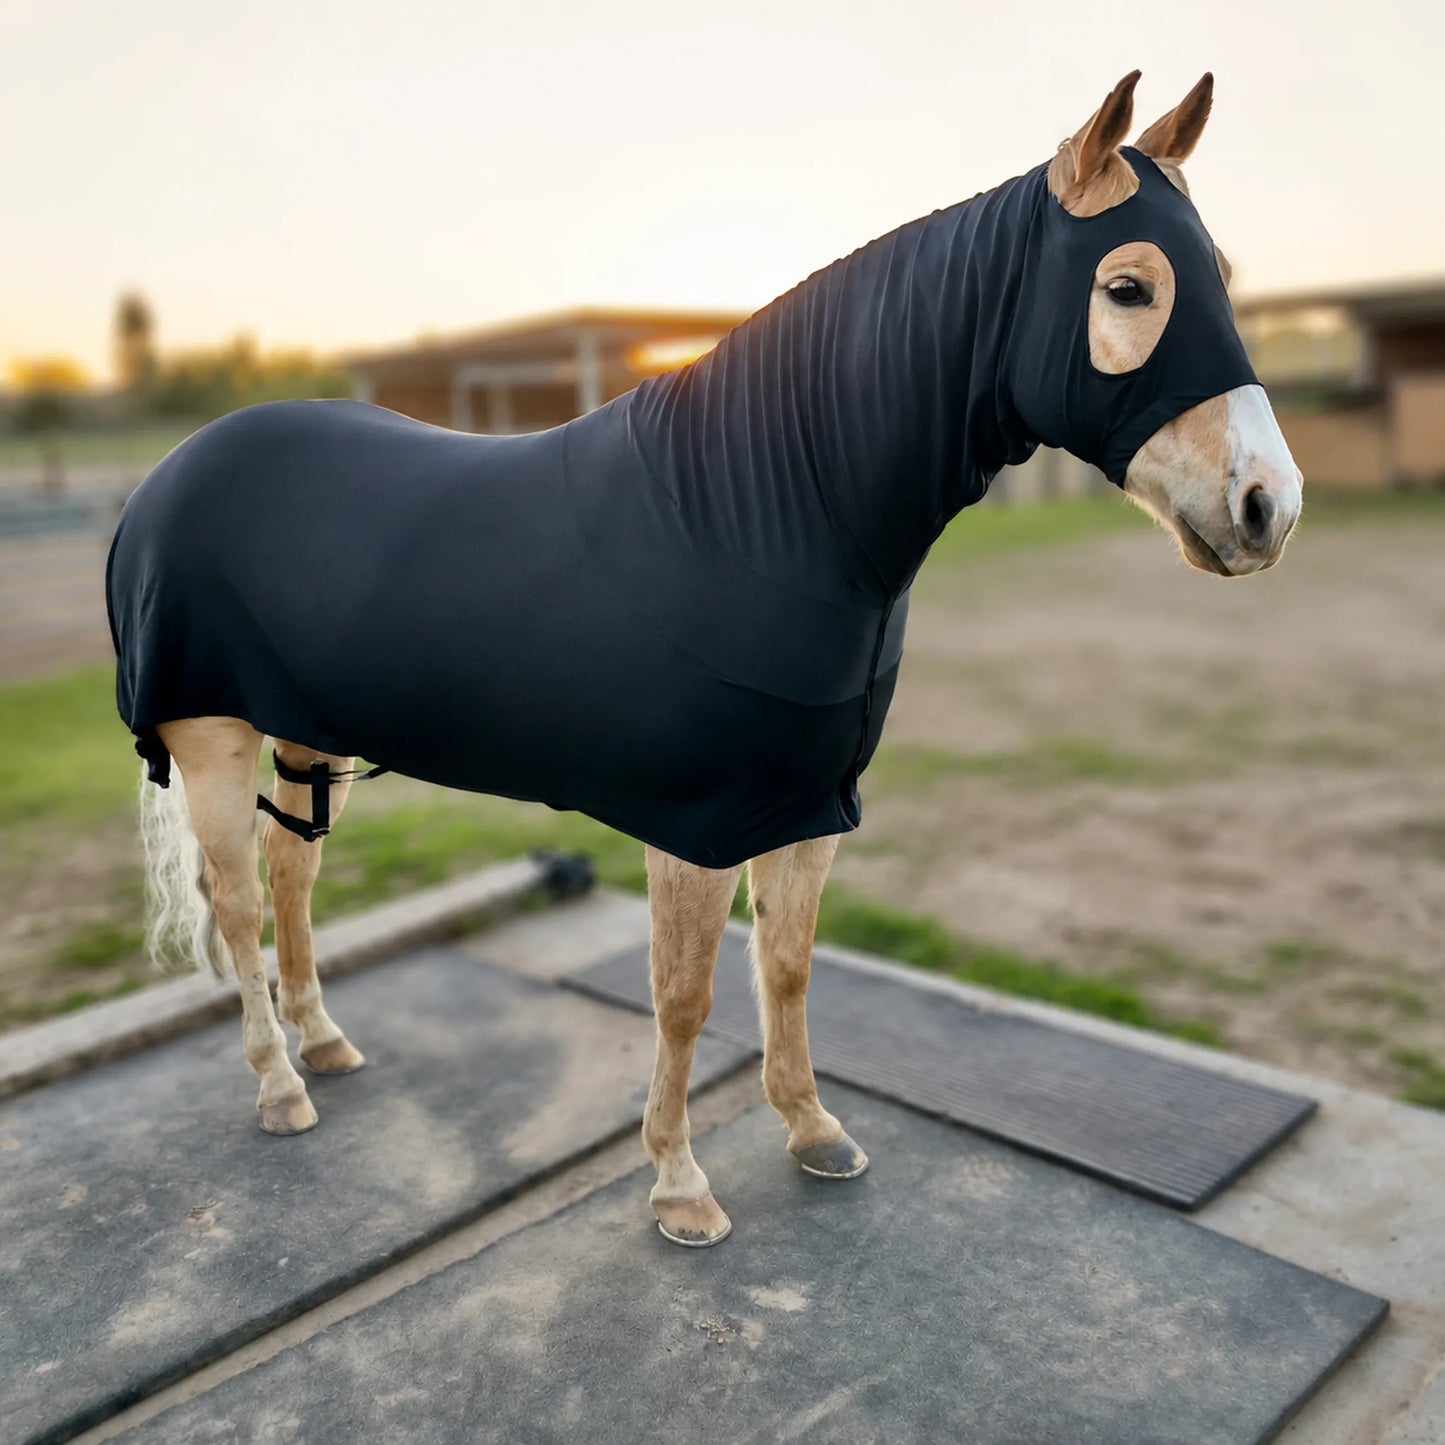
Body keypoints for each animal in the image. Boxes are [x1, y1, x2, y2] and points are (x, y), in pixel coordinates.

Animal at [107, 71, 1301, 1247]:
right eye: (1130, 288)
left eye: (1220, 279)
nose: (1267, 509)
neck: (766, 517)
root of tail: (167, 474)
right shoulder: (695, 825)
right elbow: (683, 995)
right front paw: (679, 1186)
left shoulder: (805, 806)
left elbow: (788, 966)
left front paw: (812, 1129)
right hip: (211, 736)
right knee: (239, 903)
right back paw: (278, 1086)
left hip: (308, 734)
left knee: (293, 874)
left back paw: (323, 1042)